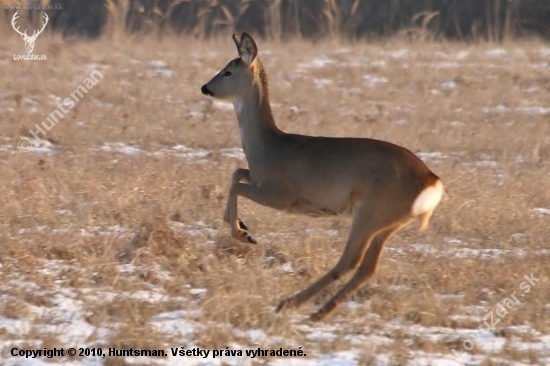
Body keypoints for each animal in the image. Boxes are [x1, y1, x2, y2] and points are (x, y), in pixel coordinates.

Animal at [201, 33, 446, 320]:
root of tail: (432, 181)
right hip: (390, 221)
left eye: (227, 71)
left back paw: (293, 304)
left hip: (370, 212)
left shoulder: (280, 194)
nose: (205, 87)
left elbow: (236, 185)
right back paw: (318, 311)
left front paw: (243, 234)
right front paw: (240, 224)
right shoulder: (259, 179)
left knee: (350, 261)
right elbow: (236, 173)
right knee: (368, 267)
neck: (267, 148)